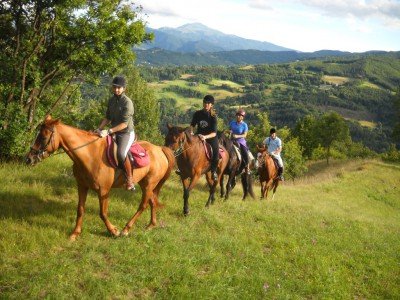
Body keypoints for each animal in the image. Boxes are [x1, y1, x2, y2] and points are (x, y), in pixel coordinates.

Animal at [25, 116, 175, 240]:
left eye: (43, 137)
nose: (29, 159)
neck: (90, 155)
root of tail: (160, 149)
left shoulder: (103, 191)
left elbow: (103, 213)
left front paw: (113, 231)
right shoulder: (82, 186)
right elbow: (80, 210)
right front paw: (75, 234)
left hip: (149, 184)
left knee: (143, 205)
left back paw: (126, 229)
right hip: (145, 184)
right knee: (152, 202)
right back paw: (151, 225)